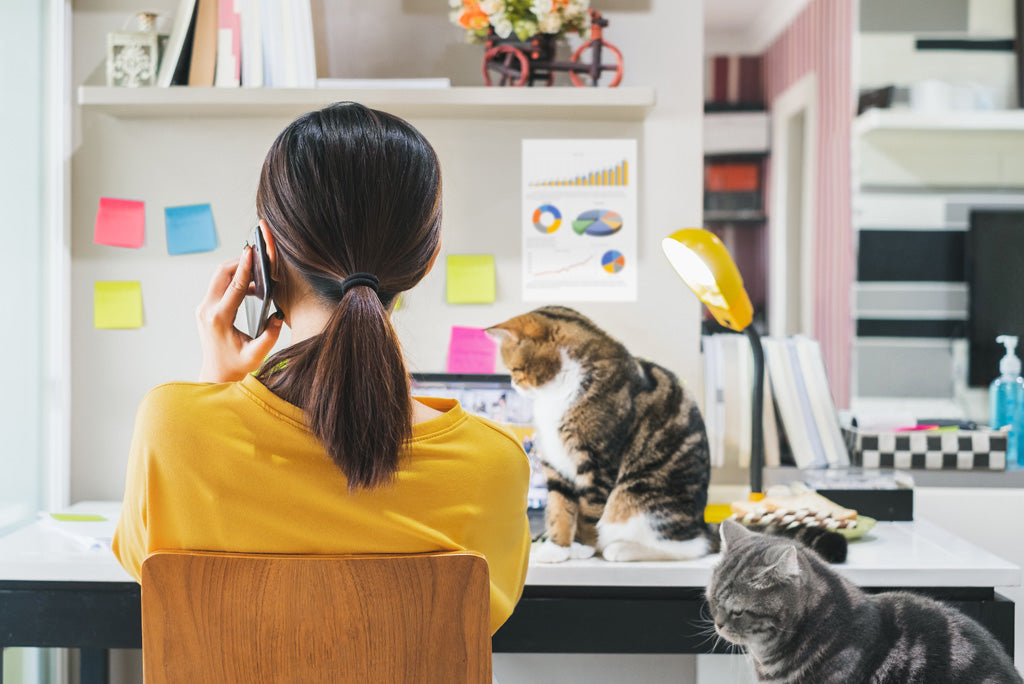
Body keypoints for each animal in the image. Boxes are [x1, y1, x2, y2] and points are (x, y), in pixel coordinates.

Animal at [485, 307, 712, 565]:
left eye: (515, 370)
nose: (513, 385)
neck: (556, 394)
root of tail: (702, 523)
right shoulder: (555, 460)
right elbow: (559, 506)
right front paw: (557, 547)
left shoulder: (597, 460)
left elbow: (589, 508)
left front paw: (581, 546)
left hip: (638, 498)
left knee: (690, 546)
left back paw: (621, 549)